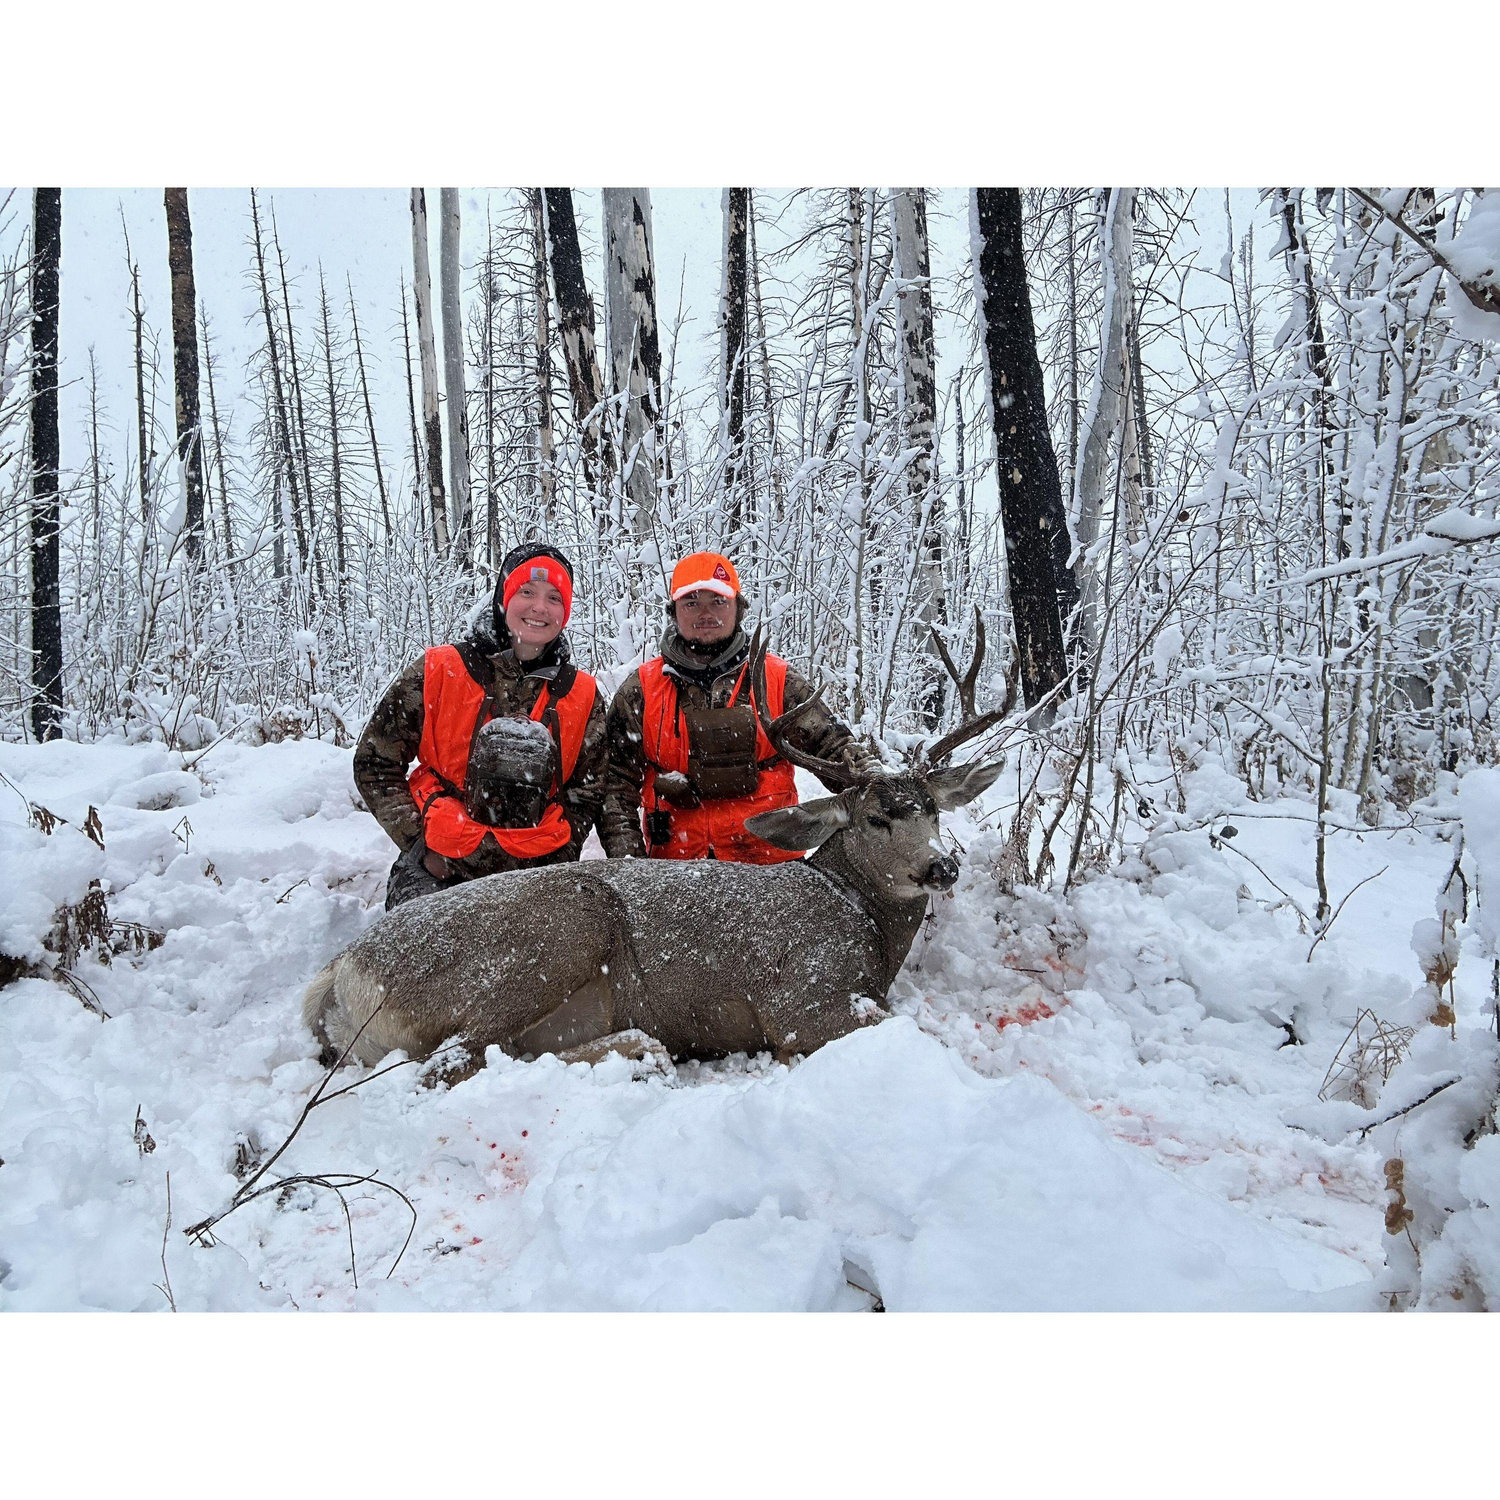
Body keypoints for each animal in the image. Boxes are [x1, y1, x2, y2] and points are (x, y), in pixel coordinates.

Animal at [302, 615, 1016, 1075]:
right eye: (873, 819)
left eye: (931, 808)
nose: (941, 866)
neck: (862, 923)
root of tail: (340, 971)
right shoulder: (801, 1000)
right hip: (553, 937)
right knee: (450, 1062)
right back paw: (645, 1051)